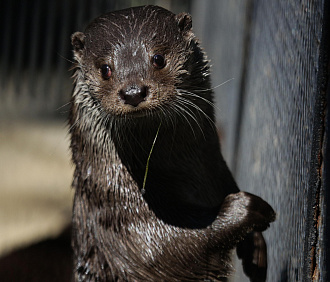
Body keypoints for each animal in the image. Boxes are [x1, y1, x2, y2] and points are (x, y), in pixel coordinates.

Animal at [68, 4, 274, 282]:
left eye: (158, 58)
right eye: (105, 69)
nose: (133, 92)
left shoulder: (218, 170)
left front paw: (255, 246)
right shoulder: (132, 234)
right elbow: (176, 249)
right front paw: (249, 209)